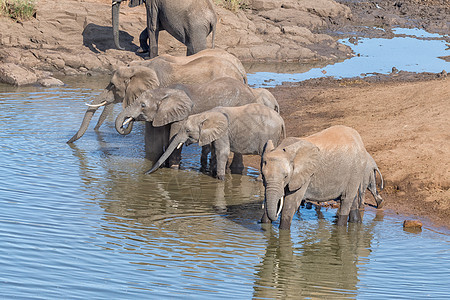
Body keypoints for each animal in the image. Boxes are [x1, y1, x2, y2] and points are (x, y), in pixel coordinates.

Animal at [145, 103, 284, 179]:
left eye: (188, 131)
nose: (145, 173)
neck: (205, 115)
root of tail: (281, 120)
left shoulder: (224, 132)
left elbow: (222, 151)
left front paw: (220, 179)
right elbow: (214, 150)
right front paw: (213, 174)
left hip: (270, 136)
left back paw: (259, 180)